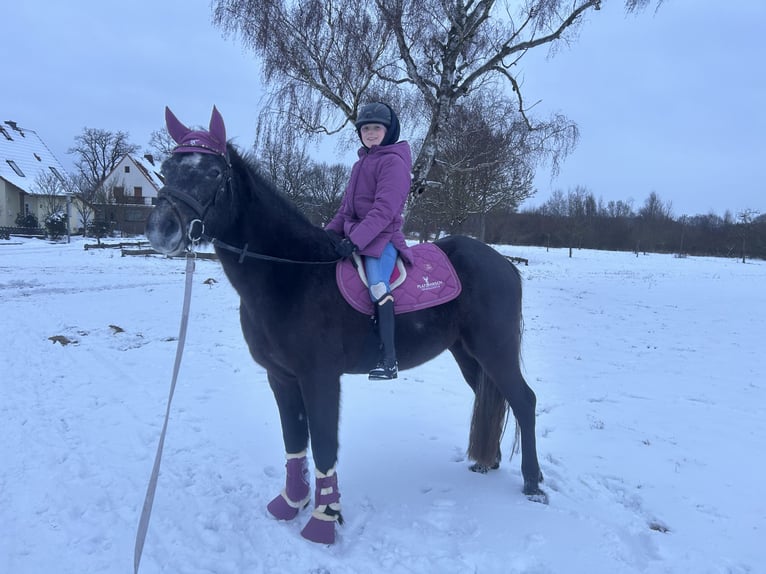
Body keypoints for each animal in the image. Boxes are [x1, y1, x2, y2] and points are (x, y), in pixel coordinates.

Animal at [145, 106, 545, 545]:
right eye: (167, 168)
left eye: (215, 172)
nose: (161, 230)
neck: (293, 273)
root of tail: (501, 263)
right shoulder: (280, 377)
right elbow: (293, 440)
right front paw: (290, 504)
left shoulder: (319, 377)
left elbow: (323, 444)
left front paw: (323, 521)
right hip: (468, 353)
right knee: (494, 397)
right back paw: (487, 463)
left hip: (495, 348)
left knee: (524, 400)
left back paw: (533, 483)